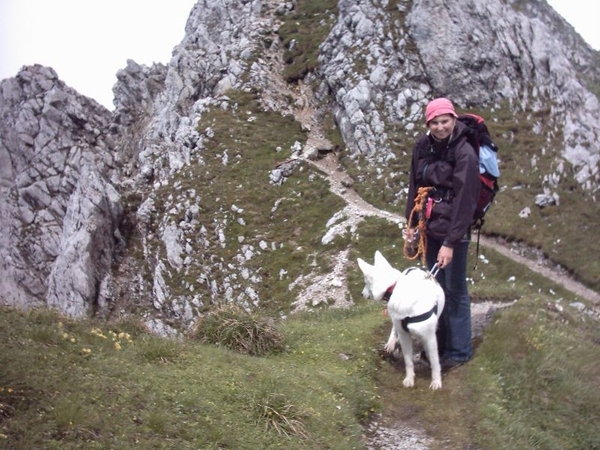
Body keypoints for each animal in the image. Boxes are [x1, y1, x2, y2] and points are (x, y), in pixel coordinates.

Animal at [356, 251, 446, 388]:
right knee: (394, 328)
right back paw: (391, 343)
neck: (394, 288)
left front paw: (436, 381)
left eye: (365, 282)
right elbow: (408, 361)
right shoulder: (404, 335)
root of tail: (417, 267)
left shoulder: (429, 337)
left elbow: (435, 362)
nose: (361, 294)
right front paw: (409, 378)